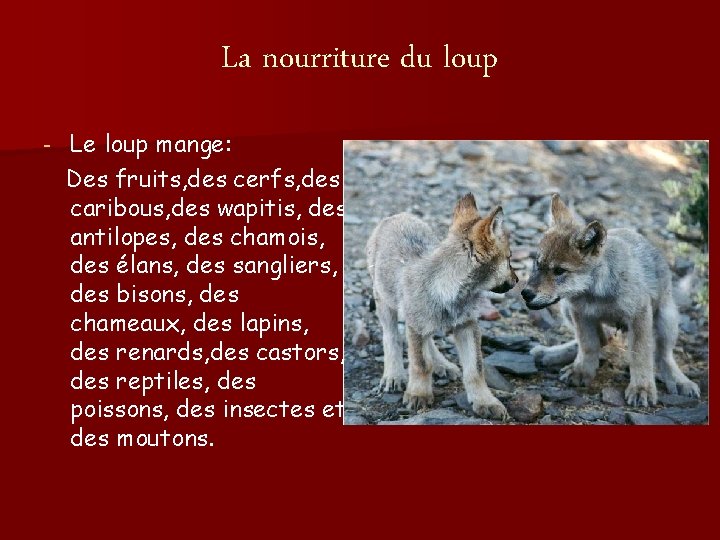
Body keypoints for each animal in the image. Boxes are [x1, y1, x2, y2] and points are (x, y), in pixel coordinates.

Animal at [366, 193, 518, 419]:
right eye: (508, 259)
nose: (517, 280)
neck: (449, 291)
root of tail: (396, 215)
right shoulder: (416, 325)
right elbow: (420, 364)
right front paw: (418, 394)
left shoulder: (467, 326)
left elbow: (475, 370)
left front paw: (485, 401)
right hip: (385, 302)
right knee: (391, 337)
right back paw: (394, 374)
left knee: (428, 341)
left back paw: (442, 364)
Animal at [521, 194, 700, 406]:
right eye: (537, 263)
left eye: (559, 271)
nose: (526, 293)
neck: (596, 292)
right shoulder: (580, 313)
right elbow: (587, 344)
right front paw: (581, 370)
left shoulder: (639, 315)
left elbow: (641, 354)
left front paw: (642, 388)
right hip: (566, 308)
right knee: (601, 339)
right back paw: (551, 353)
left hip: (666, 319)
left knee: (663, 354)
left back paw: (680, 381)